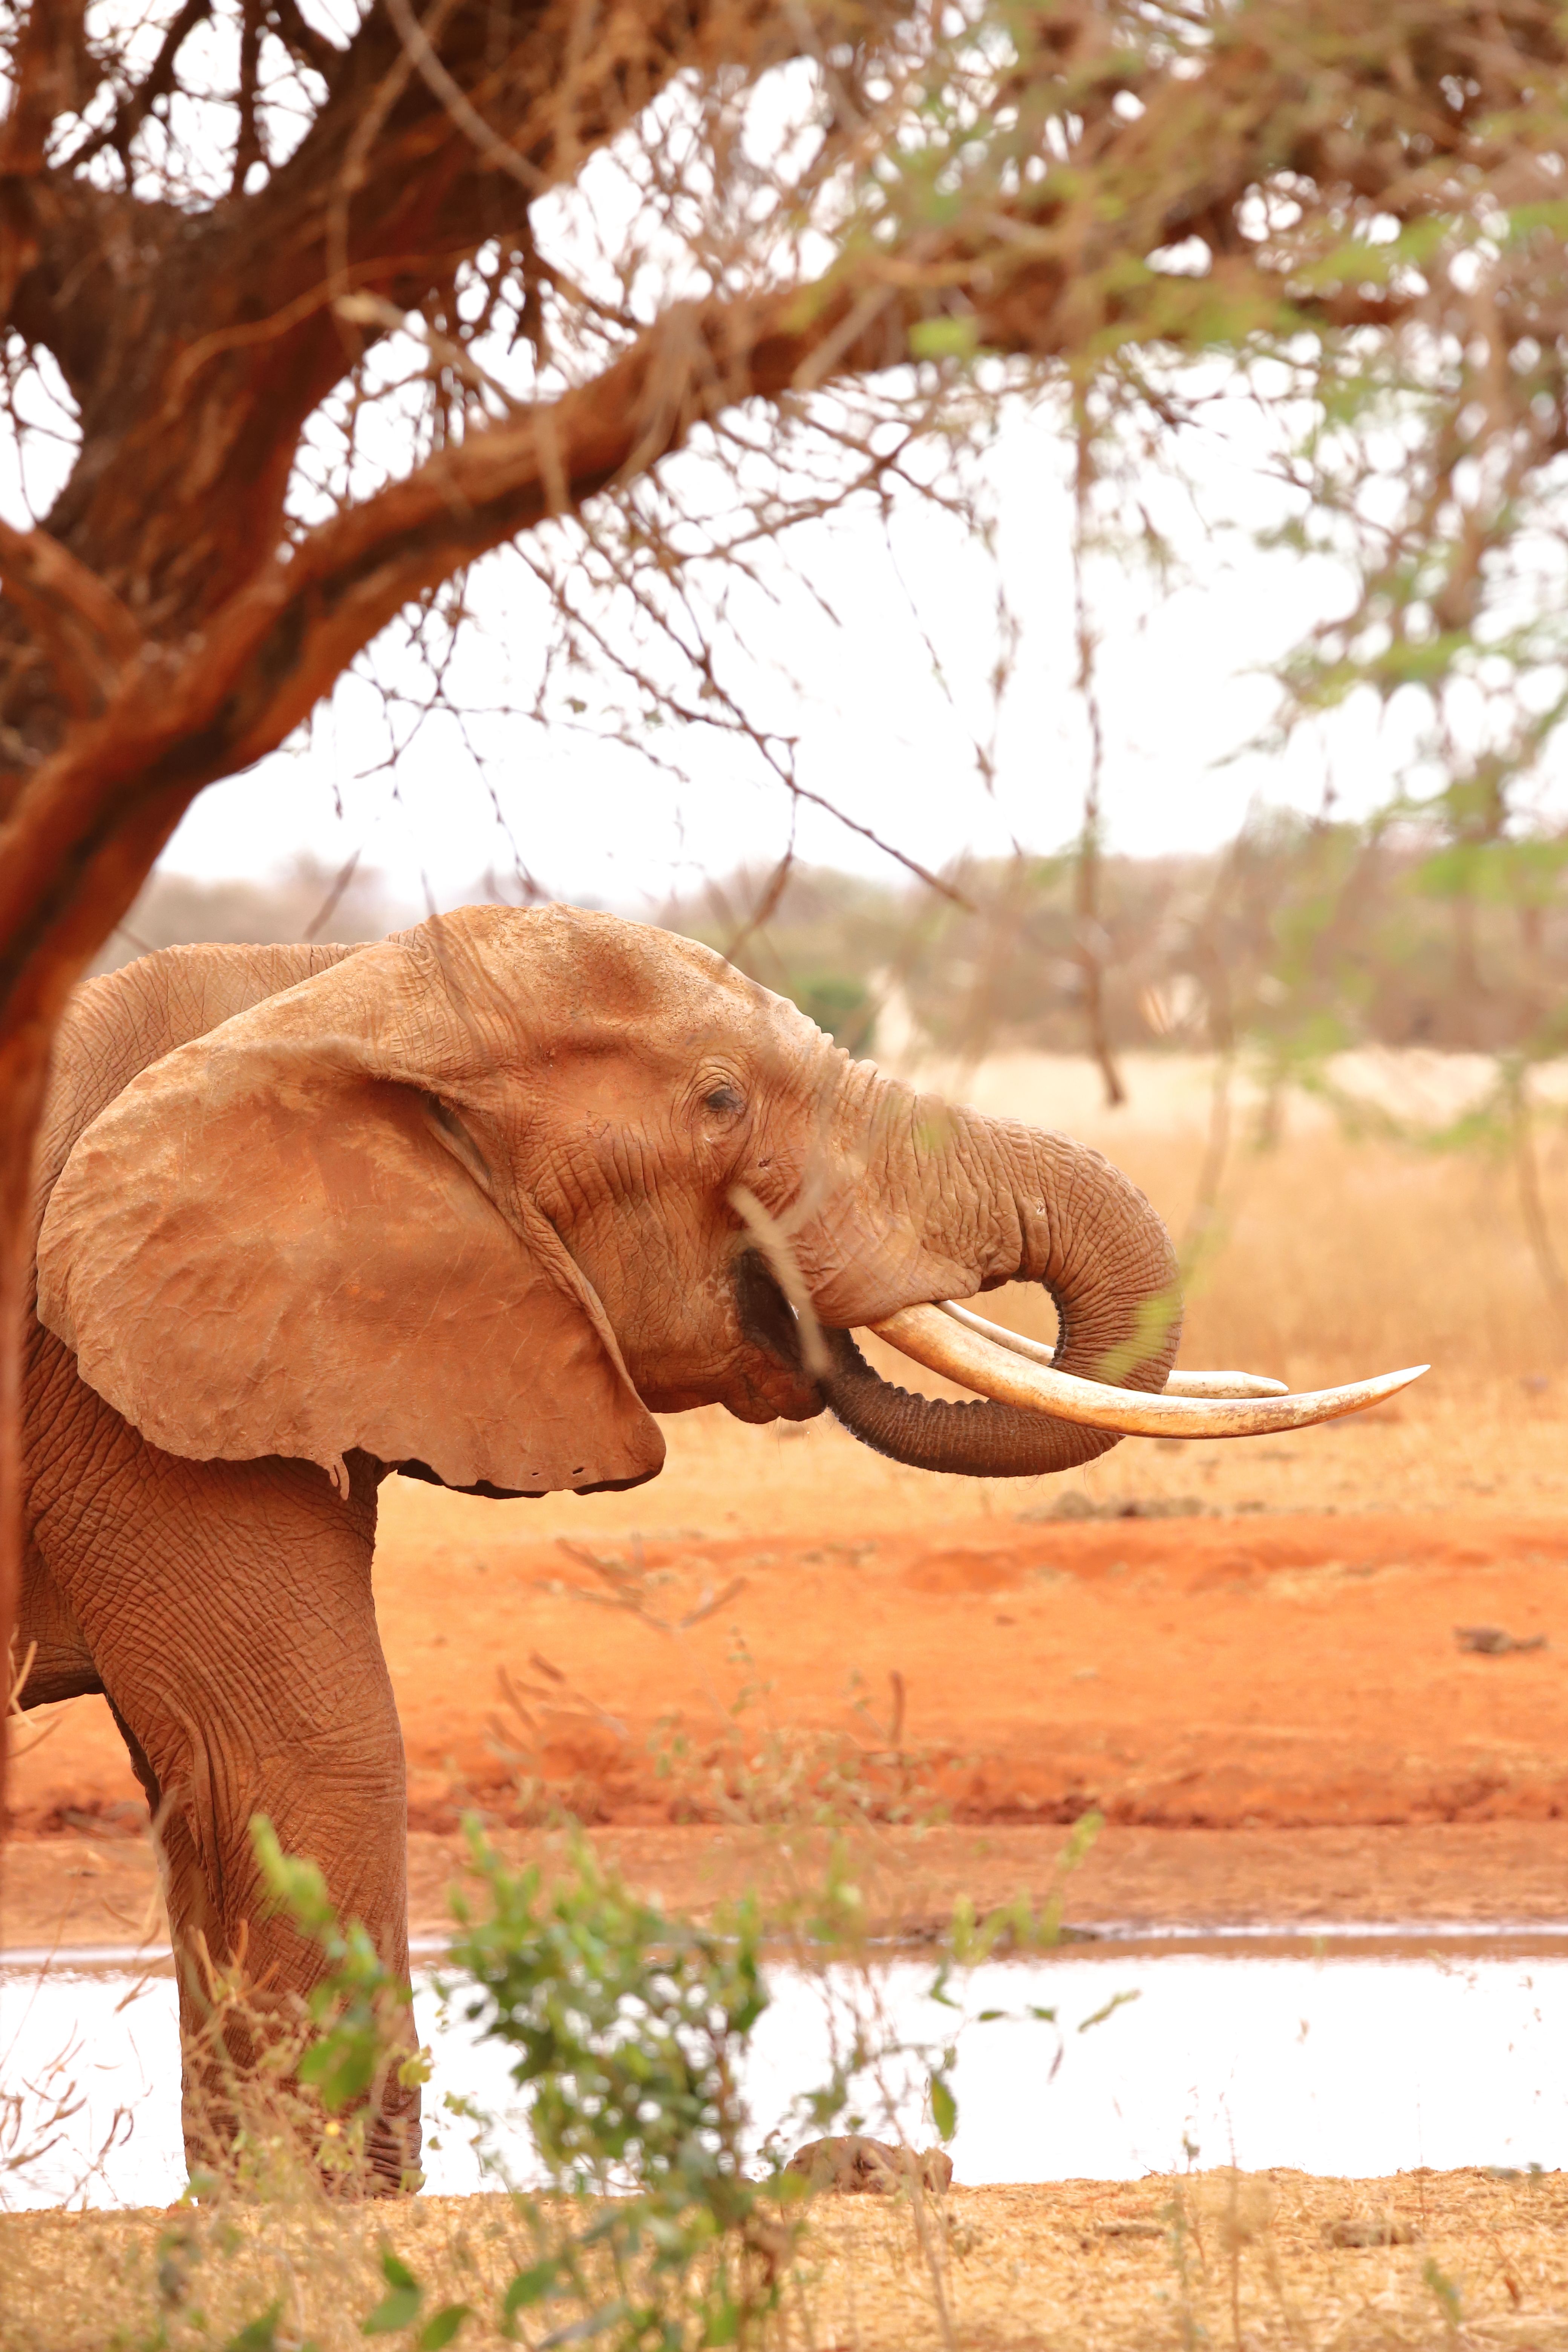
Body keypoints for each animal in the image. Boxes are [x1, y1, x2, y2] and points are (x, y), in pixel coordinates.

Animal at [16, 902, 1413, 2186]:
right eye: (722, 1102)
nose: (794, 1302)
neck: (313, 989)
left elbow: (201, 1780)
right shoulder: (124, 1391)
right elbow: (299, 1756)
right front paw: (326, 2228)